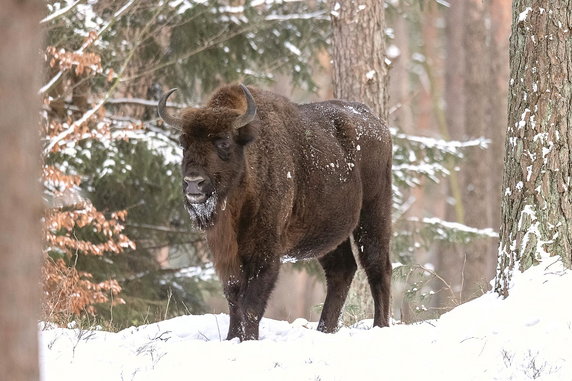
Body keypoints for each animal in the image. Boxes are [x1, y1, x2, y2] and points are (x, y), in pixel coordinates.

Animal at [161, 84, 394, 340]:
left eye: (223, 142)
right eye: (184, 144)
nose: (194, 183)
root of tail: (378, 125)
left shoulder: (264, 252)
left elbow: (251, 303)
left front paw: (248, 339)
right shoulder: (226, 254)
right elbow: (233, 297)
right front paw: (232, 338)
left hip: (373, 214)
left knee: (378, 267)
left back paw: (380, 326)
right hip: (328, 232)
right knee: (342, 270)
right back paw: (324, 330)